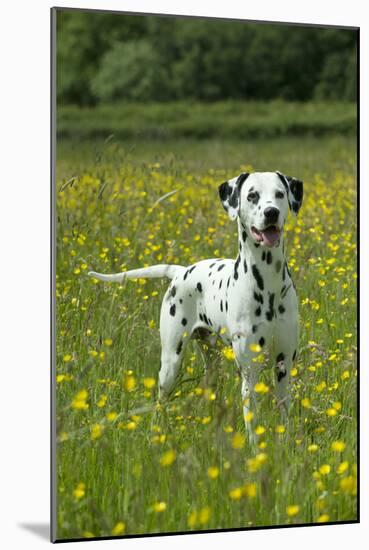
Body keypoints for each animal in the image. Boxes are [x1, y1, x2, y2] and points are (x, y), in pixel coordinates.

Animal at [89, 170, 302, 434]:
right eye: (252, 195)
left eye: (280, 194)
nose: (271, 212)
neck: (268, 283)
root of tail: (181, 271)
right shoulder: (249, 372)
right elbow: (252, 425)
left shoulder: (284, 365)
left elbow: (285, 417)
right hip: (170, 363)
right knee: (160, 400)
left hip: (212, 360)